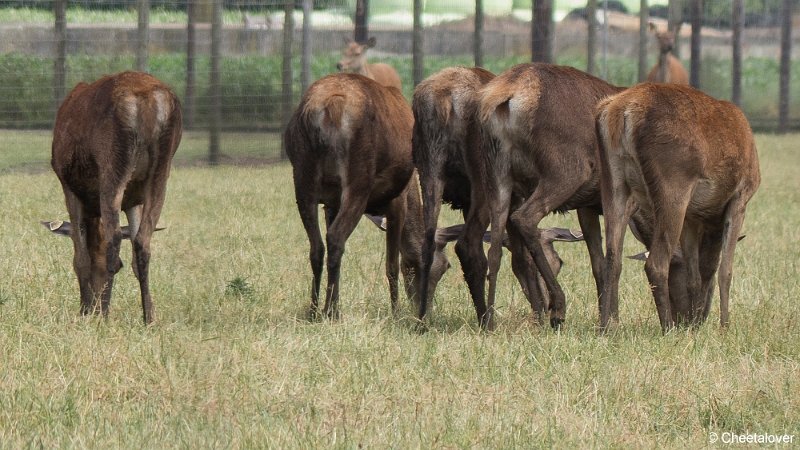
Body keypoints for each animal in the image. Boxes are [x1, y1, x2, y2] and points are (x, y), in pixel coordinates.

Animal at [52, 71, 184, 324]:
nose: (92, 308)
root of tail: (147, 101)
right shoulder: (133, 201)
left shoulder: (68, 186)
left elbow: (80, 257)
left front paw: (84, 311)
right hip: (161, 170)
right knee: (143, 242)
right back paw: (148, 319)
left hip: (113, 163)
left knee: (114, 237)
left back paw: (104, 317)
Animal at [286, 73, 450, 320]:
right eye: (442, 267)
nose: (423, 313)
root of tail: (330, 106)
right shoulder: (397, 202)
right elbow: (391, 265)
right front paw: (395, 312)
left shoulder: (330, 204)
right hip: (358, 178)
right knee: (336, 238)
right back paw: (331, 311)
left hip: (302, 178)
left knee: (317, 247)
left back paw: (315, 310)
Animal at [412, 66, 580, 326]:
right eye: (557, 263)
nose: (548, 304)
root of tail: (445, 99)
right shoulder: (517, 196)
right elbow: (521, 257)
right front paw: (539, 315)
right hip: (484, 180)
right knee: (468, 246)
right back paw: (487, 320)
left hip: (429, 169)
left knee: (429, 241)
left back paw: (424, 319)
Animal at [476, 63, 624, 328]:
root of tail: (509, 95)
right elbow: (614, 259)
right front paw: (612, 321)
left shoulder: (587, 206)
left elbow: (599, 263)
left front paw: (603, 316)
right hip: (566, 170)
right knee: (525, 218)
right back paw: (557, 307)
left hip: (498, 175)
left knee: (496, 247)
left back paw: (491, 320)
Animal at [600, 82, 764, 332]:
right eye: (710, 280)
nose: (695, 318)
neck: (711, 219)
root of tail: (622, 110)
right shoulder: (741, 196)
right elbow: (726, 270)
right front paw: (724, 326)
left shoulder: (692, 217)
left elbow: (694, 275)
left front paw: (695, 326)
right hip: (673, 185)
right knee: (655, 263)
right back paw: (667, 327)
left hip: (613, 182)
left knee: (612, 257)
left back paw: (608, 327)